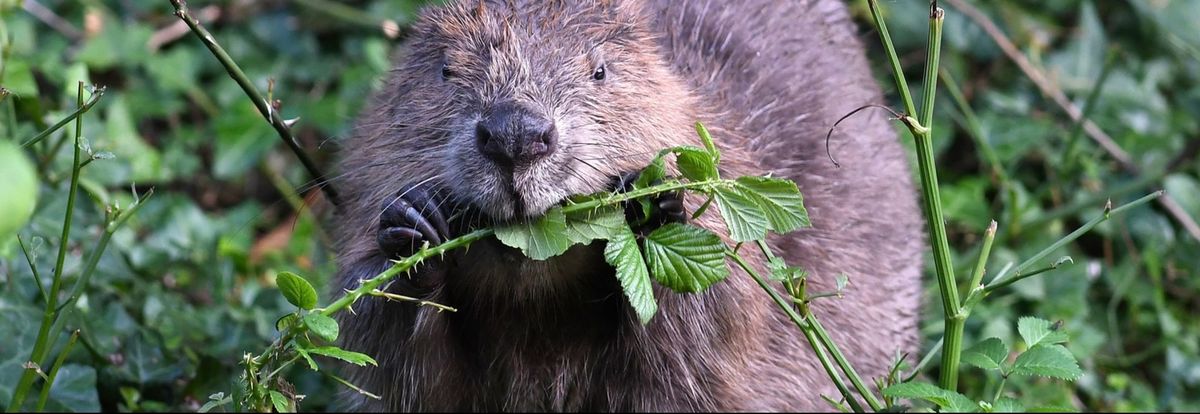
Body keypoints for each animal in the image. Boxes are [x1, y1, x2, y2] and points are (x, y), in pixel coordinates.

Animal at [333, 0, 921, 408]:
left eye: (600, 71)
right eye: (445, 70)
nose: (515, 135)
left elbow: (709, 337)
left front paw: (651, 208)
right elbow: (395, 365)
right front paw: (414, 227)